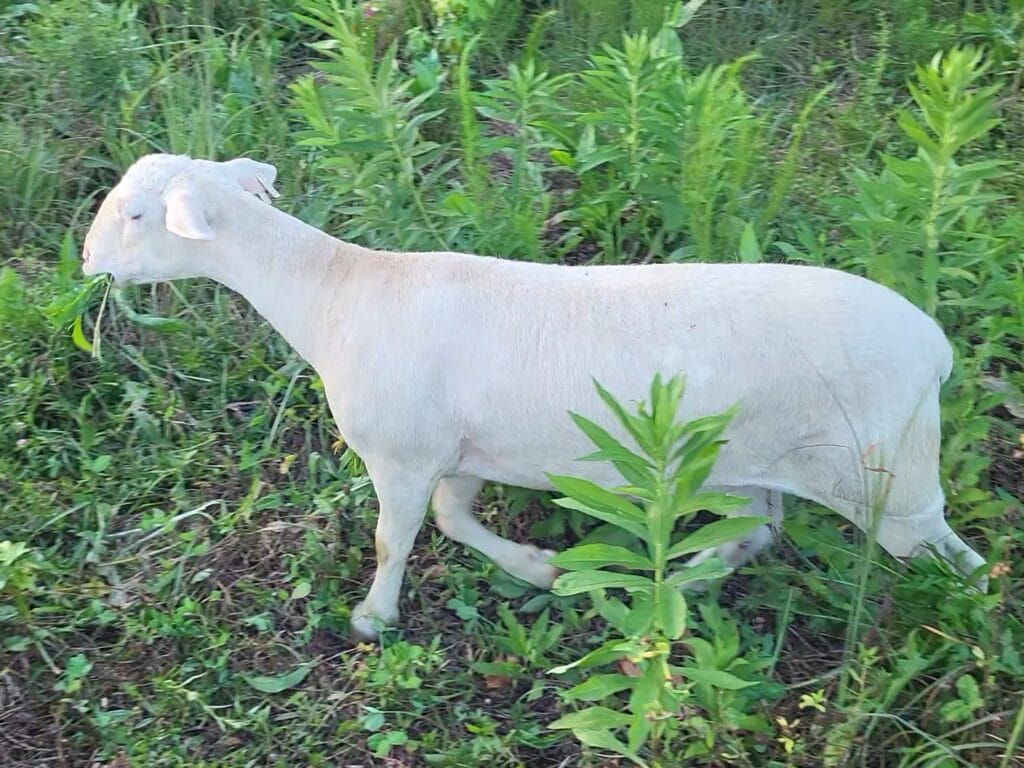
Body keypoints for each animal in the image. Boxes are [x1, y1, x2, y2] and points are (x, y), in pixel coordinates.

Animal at [81, 153, 989, 640]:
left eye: (136, 215)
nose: (86, 261)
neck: (334, 293)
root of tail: (936, 348)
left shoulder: (402, 453)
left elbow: (394, 538)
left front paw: (374, 619)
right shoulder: (462, 448)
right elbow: (453, 520)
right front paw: (539, 569)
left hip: (890, 479)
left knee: (960, 562)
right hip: (753, 462)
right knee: (758, 530)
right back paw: (681, 582)